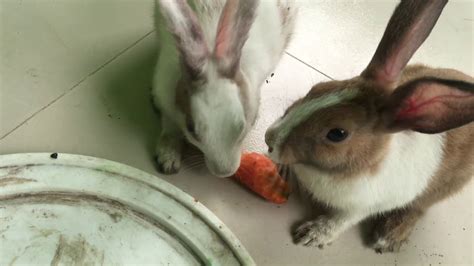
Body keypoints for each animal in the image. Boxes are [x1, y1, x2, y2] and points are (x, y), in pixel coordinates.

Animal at [152, 0, 296, 177]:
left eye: (242, 125)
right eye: (191, 128)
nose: (224, 172)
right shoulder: (165, 98)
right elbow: (170, 129)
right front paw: (168, 160)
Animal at [264, 0, 472, 252]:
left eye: (337, 133)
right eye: (317, 89)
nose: (269, 139)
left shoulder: (363, 206)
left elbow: (341, 221)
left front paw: (312, 235)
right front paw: (277, 172)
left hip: (443, 188)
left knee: (419, 207)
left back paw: (389, 235)